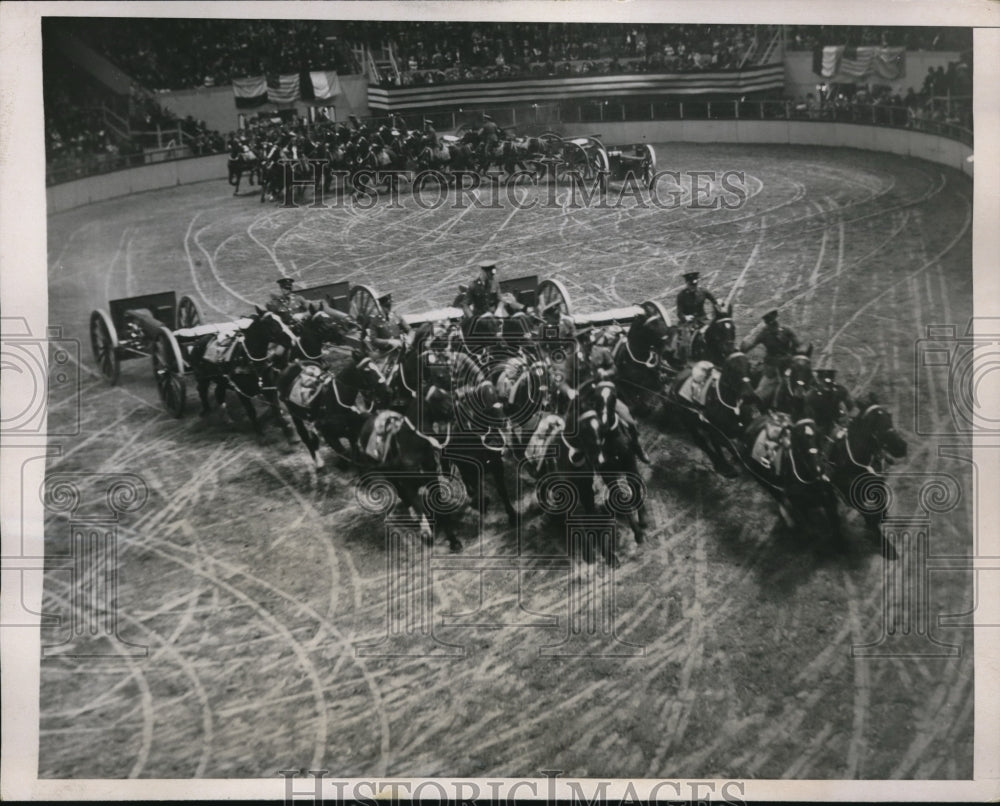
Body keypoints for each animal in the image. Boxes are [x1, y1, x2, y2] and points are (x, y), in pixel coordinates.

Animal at [187, 308, 296, 436]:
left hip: (222, 380)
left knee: (218, 393)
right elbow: (251, 411)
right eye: (271, 324)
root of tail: (197, 342)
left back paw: (228, 420)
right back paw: (206, 411)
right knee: (202, 391)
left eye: (282, 320)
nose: (293, 340)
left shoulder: (268, 388)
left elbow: (276, 410)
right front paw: (260, 433)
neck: (247, 359)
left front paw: (287, 430)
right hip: (202, 377)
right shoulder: (241, 392)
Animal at [744, 416, 844, 544]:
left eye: (819, 435)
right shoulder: (801, 507)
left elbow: (836, 527)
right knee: (778, 498)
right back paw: (789, 521)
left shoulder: (829, 499)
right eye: (798, 439)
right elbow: (812, 532)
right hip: (764, 482)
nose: (818, 468)